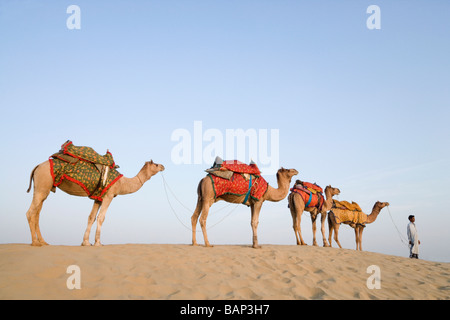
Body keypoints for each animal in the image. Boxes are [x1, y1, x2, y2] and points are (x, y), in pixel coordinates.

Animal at [25, 159, 165, 246]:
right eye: (156, 164)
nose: (163, 166)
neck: (122, 183)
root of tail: (37, 167)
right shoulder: (108, 195)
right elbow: (101, 217)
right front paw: (98, 243)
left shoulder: (98, 198)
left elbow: (91, 217)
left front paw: (86, 242)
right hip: (43, 182)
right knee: (30, 212)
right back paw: (35, 242)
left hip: (44, 187)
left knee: (37, 212)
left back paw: (43, 242)